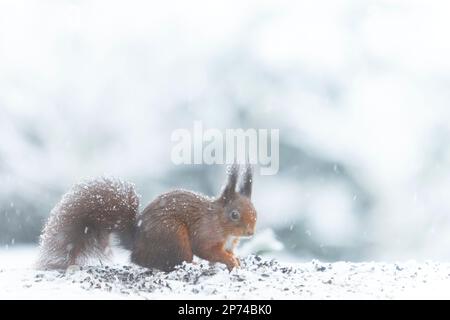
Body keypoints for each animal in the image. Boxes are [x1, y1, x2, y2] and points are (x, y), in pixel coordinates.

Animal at [37, 165, 256, 272]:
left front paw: (235, 260)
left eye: (255, 212)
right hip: (174, 236)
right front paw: (229, 260)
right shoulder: (205, 233)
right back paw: (189, 265)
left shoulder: (229, 244)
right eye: (234, 214)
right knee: (164, 261)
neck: (219, 221)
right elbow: (206, 250)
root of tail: (136, 242)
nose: (251, 232)